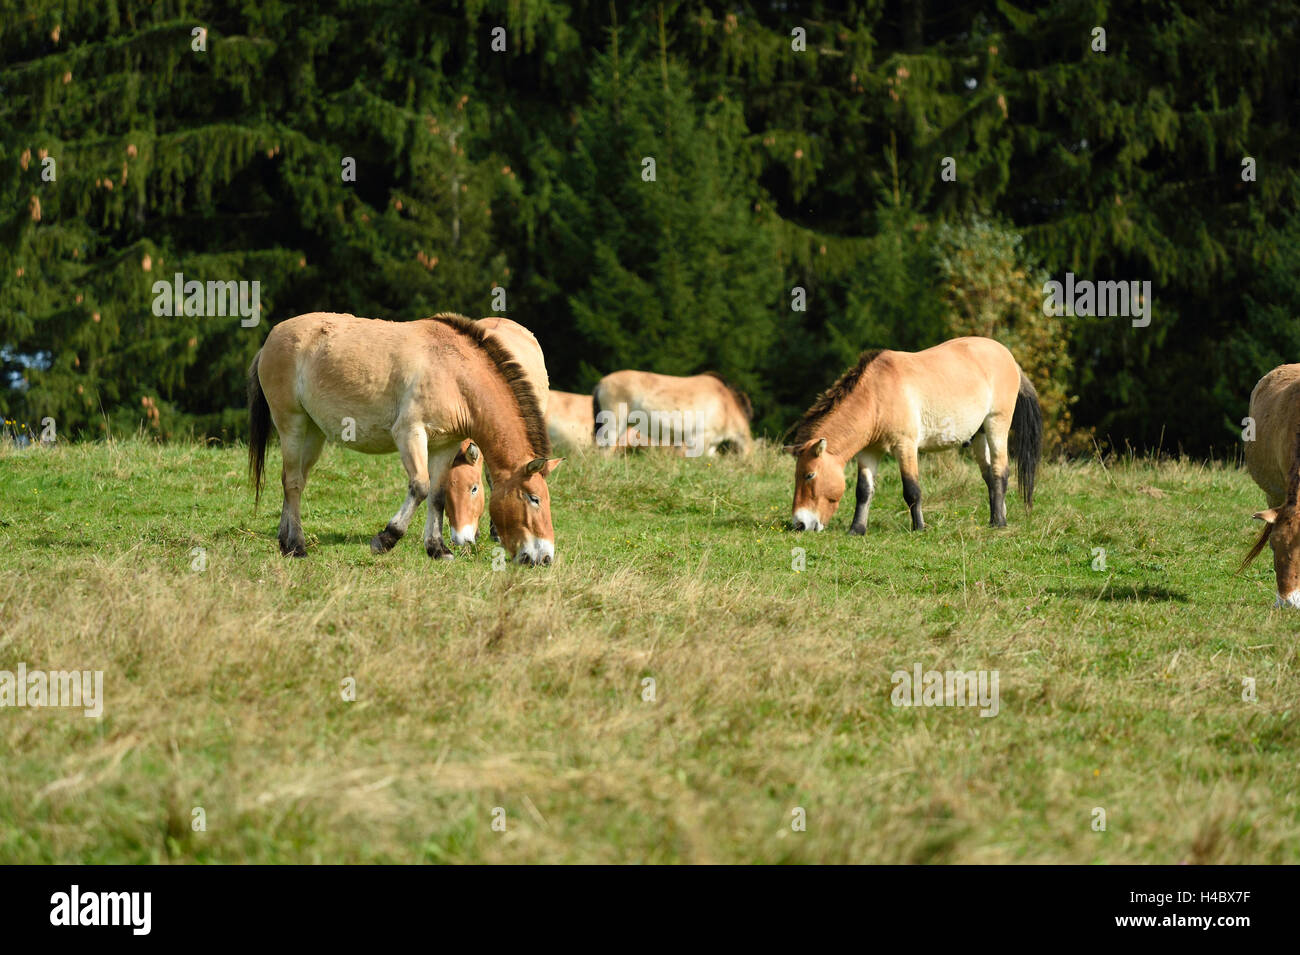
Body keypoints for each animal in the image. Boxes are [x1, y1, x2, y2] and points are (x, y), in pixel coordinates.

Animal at [248, 314, 564, 563]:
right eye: (533, 499)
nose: (545, 557)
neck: (452, 373)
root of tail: (271, 338)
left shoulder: (445, 445)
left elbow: (436, 494)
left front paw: (438, 549)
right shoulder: (410, 434)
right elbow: (420, 487)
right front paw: (386, 539)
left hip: (313, 433)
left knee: (295, 479)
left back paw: (284, 540)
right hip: (291, 424)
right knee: (293, 481)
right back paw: (296, 547)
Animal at [780, 335, 1045, 535]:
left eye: (809, 475)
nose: (800, 523)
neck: (876, 396)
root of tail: (1009, 357)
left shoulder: (905, 446)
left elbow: (912, 490)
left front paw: (919, 527)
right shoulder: (869, 452)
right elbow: (863, 491)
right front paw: (857, 529)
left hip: (996, 425)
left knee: (1001, 471)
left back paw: (999, 522)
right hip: (979, 435)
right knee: (990, 476)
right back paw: (994, 518)